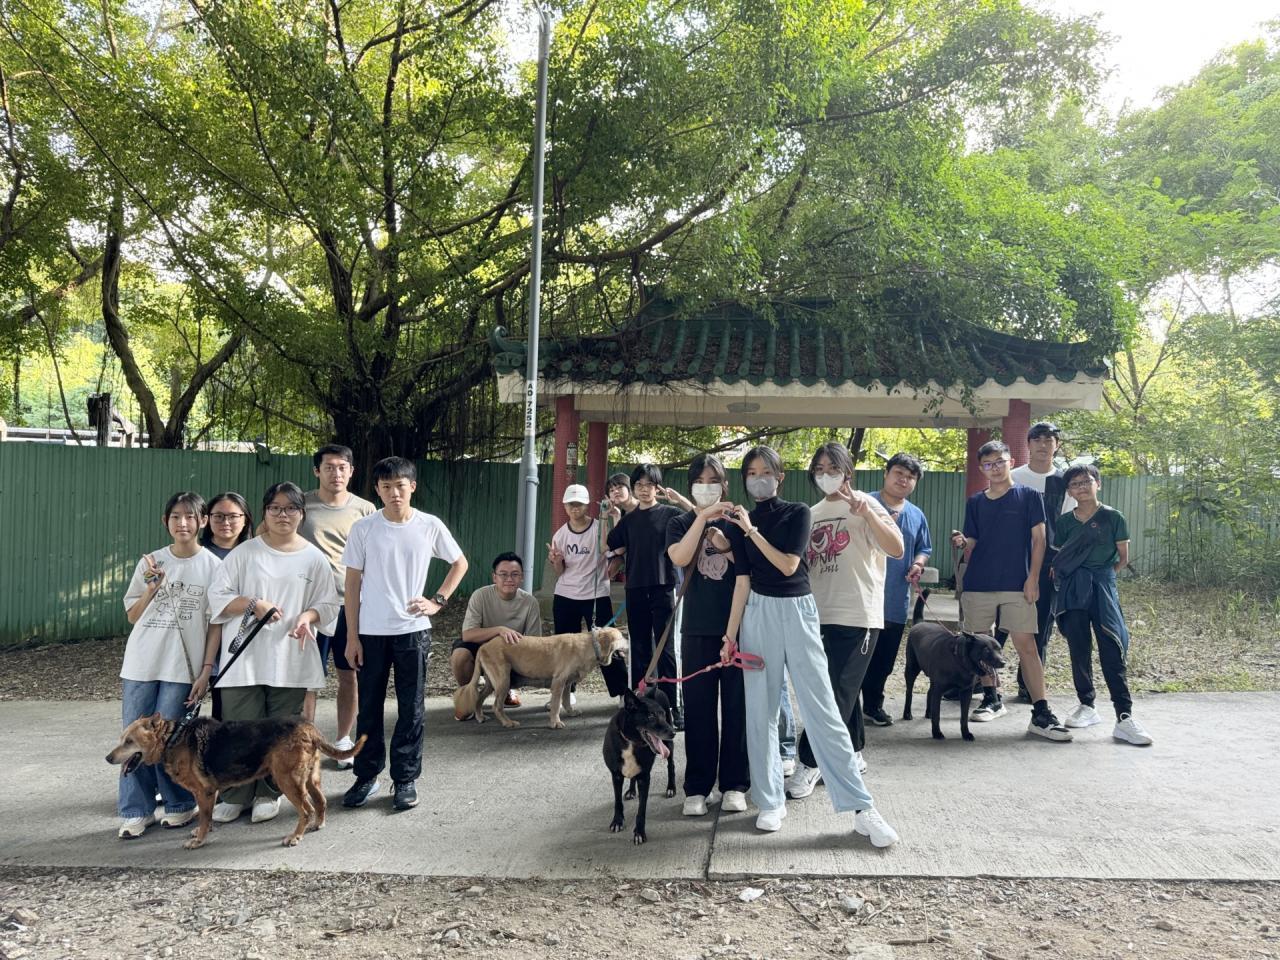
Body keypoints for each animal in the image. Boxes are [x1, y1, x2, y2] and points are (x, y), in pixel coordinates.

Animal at [106, 713, 365, 849]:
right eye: (121, 739)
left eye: (129, 741)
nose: (108, 758)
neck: (172, 739)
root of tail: (309, 729)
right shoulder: (208, 794)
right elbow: (206, 817)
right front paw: (203, 831)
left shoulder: (203, 792)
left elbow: (203, 818)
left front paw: (199, 840)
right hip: (310, 779)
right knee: (320, 803)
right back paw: (317, 825)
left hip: (287, 781)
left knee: (306, 809)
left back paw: (295, 837)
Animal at [453, 626, 629, 729]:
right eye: (621, 637)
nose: (629, 642)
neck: (590, 646)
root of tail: (484, 646)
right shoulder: (558, 682)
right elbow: (556, 705)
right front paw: (555, 722)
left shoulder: (567, 683)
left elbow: (566, 700)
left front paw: (571, 712)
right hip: (503, 680)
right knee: (497, 706)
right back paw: (508, 722)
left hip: (492, 682)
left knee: (479, 698)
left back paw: (480, 716)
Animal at [603, 687, 676, 845]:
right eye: (650, 716)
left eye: (662, 713)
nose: (673, 732)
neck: (631, 741)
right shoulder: (616, 775)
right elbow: (617, 801)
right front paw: (617, 821)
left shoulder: (644, 777)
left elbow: (641, 809)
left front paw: (639, 832)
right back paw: (631, 790)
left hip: (669, 745)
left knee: (671, 765)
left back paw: (671, 788)